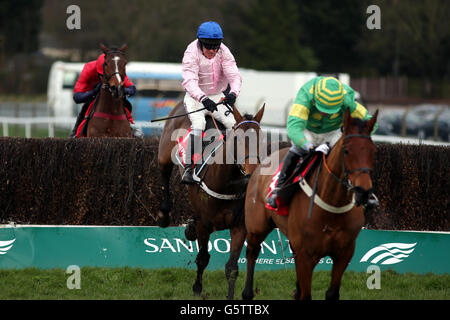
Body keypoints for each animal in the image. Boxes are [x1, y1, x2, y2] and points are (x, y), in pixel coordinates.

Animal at [157, 101, 266, 298]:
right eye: (238, 139)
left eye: (260, 139)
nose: (253, 171)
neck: (225, 183)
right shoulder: (204, 224)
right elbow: (202, 258)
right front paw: (197, 289)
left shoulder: (239, 226)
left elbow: (232, 267)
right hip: (164, 153)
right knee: (164, 172)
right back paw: (164, 215)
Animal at [243, 108, 376, 300]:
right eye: (346, 151)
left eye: (373, 151)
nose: (364, 191)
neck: (333, 204)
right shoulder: (306, 255)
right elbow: (306, 295)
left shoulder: (344, 253)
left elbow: (332, 293)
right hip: (256, 227)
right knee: (252, 252)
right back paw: (247, 293)